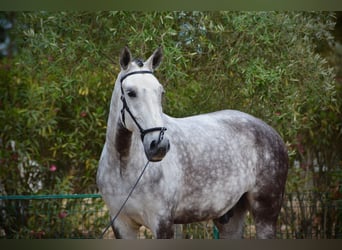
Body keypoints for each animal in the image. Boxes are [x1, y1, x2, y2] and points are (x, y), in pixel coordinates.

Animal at [96, 46, 288, 238]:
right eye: (131, 93)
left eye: (160, 92)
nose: (159, 145)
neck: (124, 165)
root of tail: (271, 132)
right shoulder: (121, 225)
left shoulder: (162, 223)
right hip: (230, 218)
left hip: (265, 214)